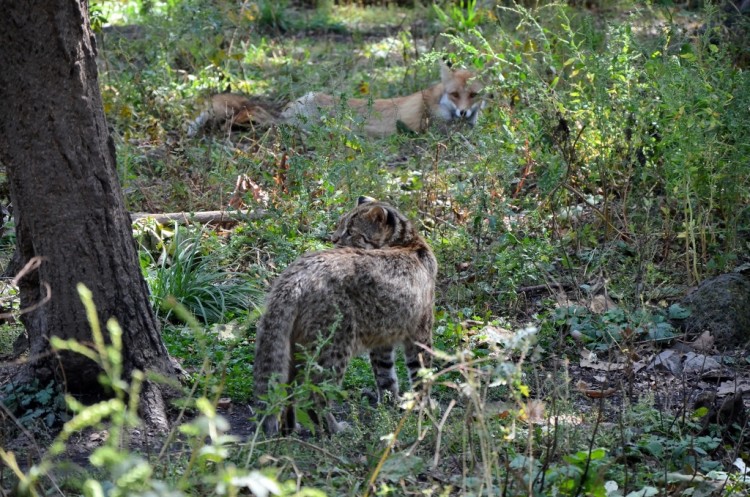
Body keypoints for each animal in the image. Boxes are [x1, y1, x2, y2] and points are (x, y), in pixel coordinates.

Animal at [254, 197, 438, 434]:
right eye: (341, 225)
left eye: (350, 231)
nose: (333, 238)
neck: (407, 241)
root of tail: (294, 275)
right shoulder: (420, 332)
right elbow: (420, 373)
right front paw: (423, 408)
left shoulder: (383, 338)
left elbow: (385, 375)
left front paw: (392, 405)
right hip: (335, 346)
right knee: (315, 393)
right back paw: (335, 429)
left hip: (296, 347)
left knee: (288, 388)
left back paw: (291, 429)